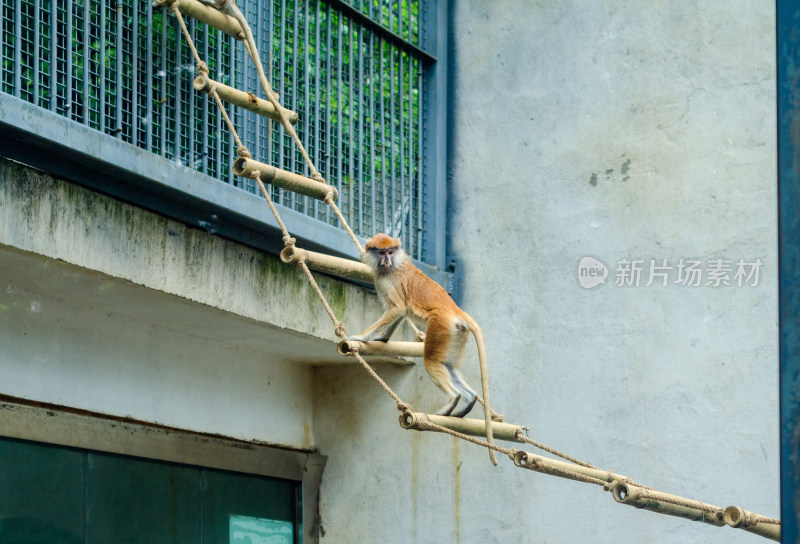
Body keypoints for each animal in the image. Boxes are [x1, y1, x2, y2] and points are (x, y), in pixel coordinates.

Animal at [352, 232, 496, 466]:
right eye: (381, 252)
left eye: (390, 251)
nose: (386, 260)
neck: (395, 264)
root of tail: (456, 311)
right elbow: (399, 313)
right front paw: (382, 338)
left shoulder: (387, 281)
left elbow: (397, 309)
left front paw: (362, 337)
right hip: (456, 335)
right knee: (447, 364)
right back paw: (468, 400)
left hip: (441, 327)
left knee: (431, 361)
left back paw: (453, 401)